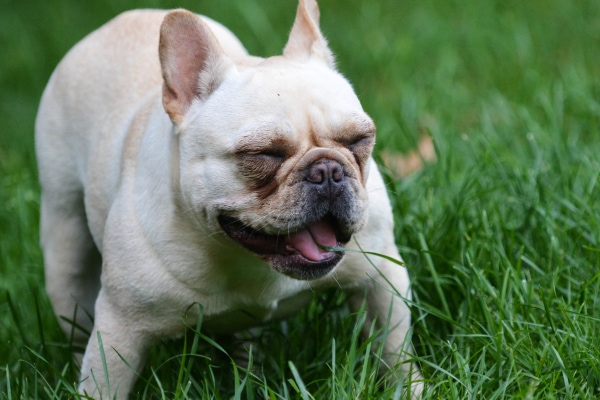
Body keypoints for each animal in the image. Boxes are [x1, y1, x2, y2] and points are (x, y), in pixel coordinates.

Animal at [36, 1, 422, 398]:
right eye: (263, 154)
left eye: (359, 139)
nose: (327, 171)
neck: (241, 256)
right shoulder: (119, 330)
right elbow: (102, 384)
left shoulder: (382, 279)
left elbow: (396, 352)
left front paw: (410, 389)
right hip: (65, 243)